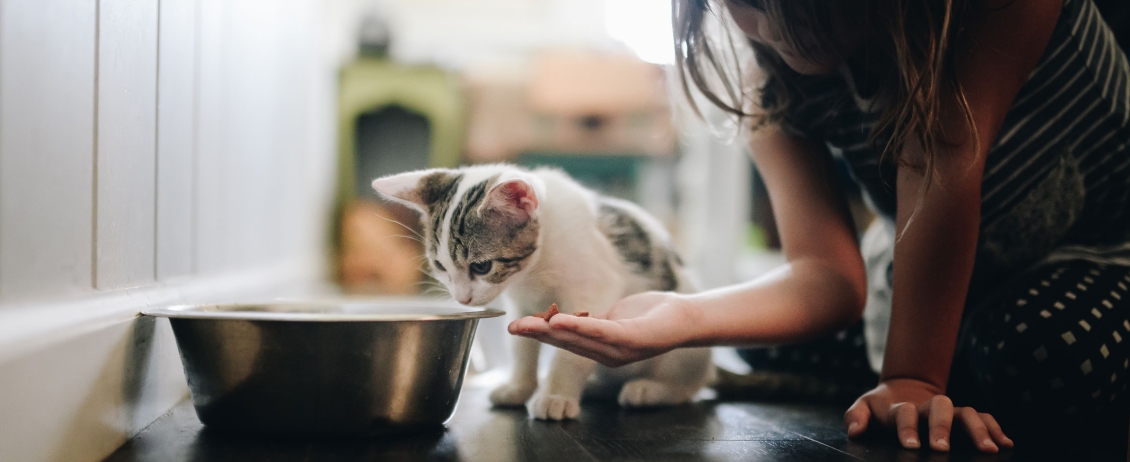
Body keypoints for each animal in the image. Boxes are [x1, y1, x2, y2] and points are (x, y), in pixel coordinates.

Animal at [375, 163, 709, 420]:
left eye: (481, 266)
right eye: (440, 266)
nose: (462, 298)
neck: (536, 268)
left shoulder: (596, 285)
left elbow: (571, 354)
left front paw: (556, 394)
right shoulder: (523, 302)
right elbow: (521, 348)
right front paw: (519, 387)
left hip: (684, 351)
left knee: (690, 384)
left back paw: (653, 389)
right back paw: (597, 386)